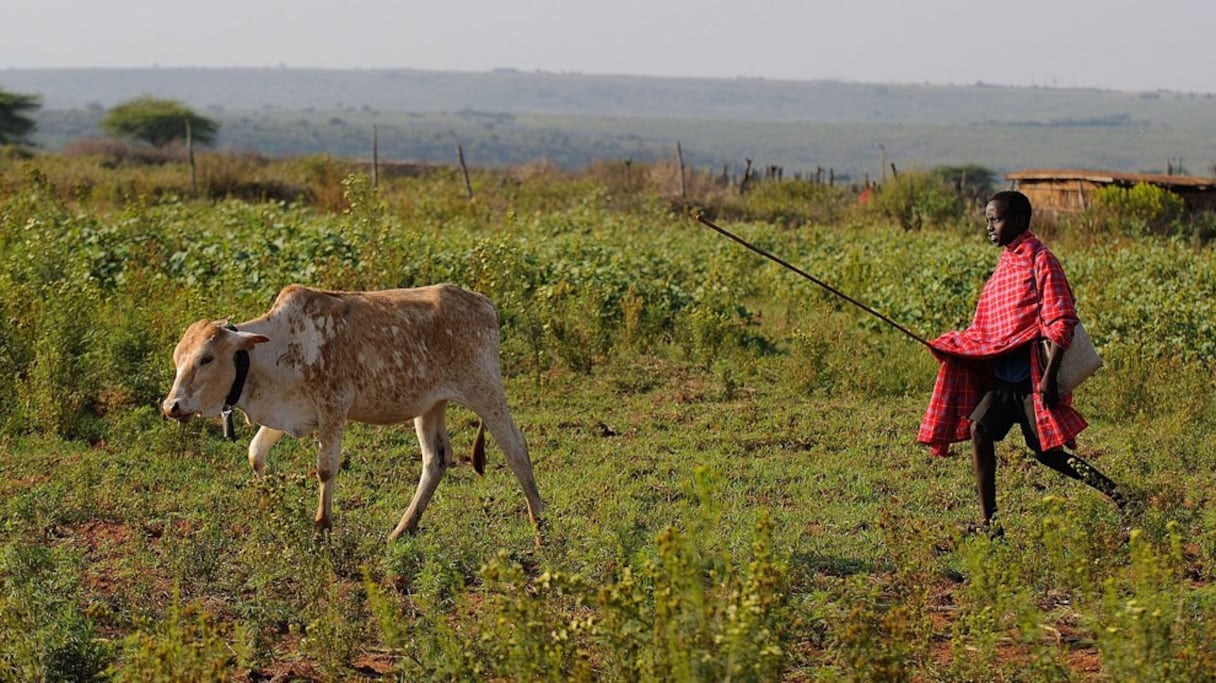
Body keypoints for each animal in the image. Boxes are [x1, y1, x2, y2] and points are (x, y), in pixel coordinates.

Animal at [161, 281, 547, 537]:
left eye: (206, 358)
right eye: (178, 357)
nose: (171, 406)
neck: (274, 350)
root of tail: (483, 303)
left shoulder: (334, 408)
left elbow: (325, 469)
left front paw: (322, 524)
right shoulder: (288, 413)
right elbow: (255, 454)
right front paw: (271, 503)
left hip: (485, 390)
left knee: (516, 448)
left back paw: (539, 521)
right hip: (430, 404)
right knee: (435, 459)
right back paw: (403, 528)